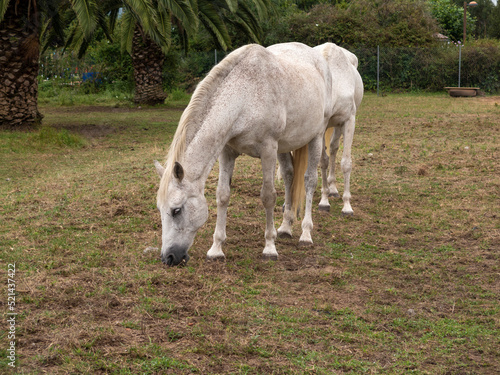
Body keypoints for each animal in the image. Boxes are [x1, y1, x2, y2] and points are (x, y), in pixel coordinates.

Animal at [154, 41, 362, 268]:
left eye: (176, 210)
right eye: (160, 209)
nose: (168, 258)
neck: (244, 97)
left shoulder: (268, 150)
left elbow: (268, 196)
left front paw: (269, 247)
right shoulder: (227, 152)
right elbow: (222, 195)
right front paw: (216, 249)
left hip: (317, 135)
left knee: (310, 180)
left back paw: (306, 233)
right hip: (285, 146)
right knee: (289, 176)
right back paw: (286, 227)